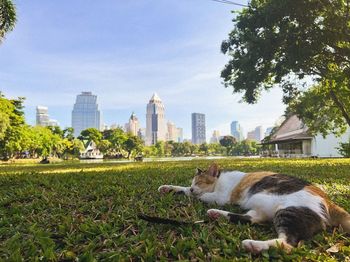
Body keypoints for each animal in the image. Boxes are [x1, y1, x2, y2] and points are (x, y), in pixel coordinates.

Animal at [159, 163, 350, 253]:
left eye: (199, 182)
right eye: (193, 182)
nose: (193, 188)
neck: (220, 180)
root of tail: (329, 202)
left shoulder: (221, 197)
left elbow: (203, 196)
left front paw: (195, 195)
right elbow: (183, 189)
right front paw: (169, 188)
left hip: (288, 211)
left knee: (287, 243)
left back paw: (252, 245)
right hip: (263, 208)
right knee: (252, 218)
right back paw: (216, 214)